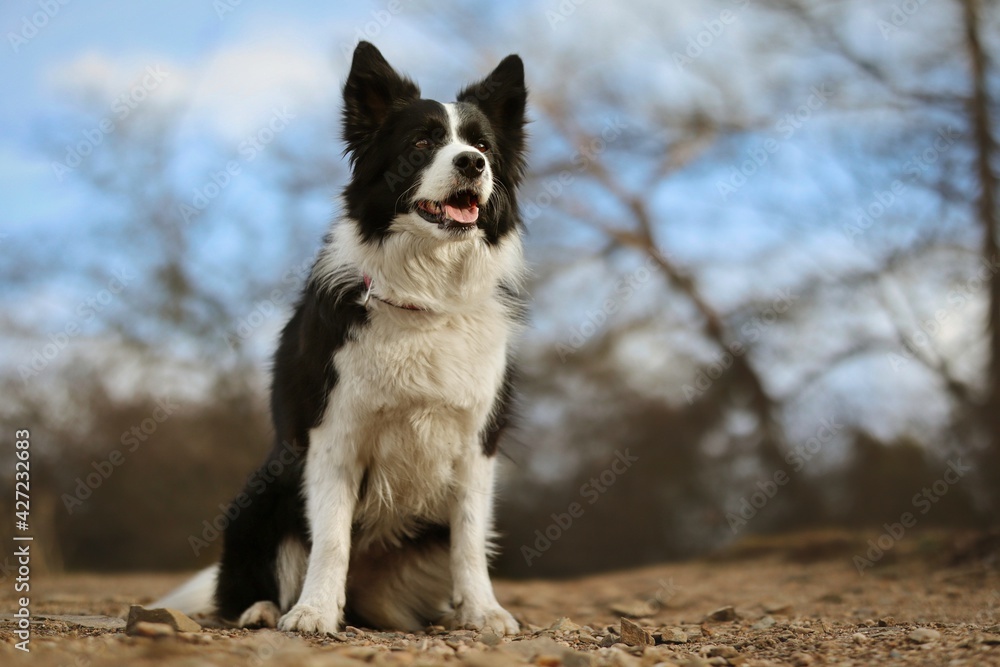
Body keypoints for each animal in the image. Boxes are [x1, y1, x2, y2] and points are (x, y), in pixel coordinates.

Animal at [155, 41, 524, 636]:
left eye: (483, 145)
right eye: (422, 143)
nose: (472, 163)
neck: (424, 298)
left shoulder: (475, 444)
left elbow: (470, 539)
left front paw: (483, 612)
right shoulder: (333, 437)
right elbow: (330, 539)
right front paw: (314, 612)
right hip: (260, 494)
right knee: (246, 583)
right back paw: (263, 609)